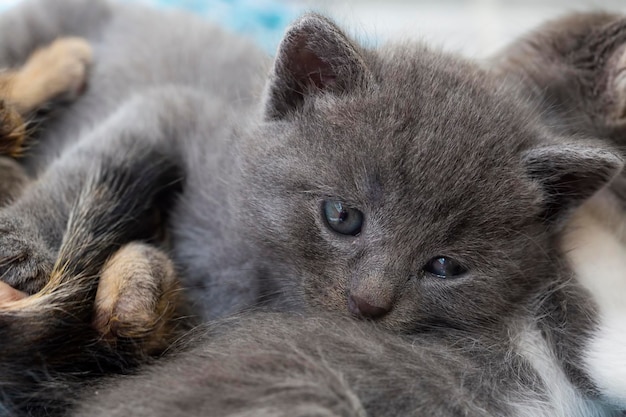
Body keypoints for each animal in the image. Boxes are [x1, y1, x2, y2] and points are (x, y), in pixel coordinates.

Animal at [0, 0, 620, 414]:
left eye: (445, 266)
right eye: (342, 216)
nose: (369, 302)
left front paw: (138, 290)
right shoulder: (176, 109)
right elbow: (98, 168)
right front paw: (21, 246)